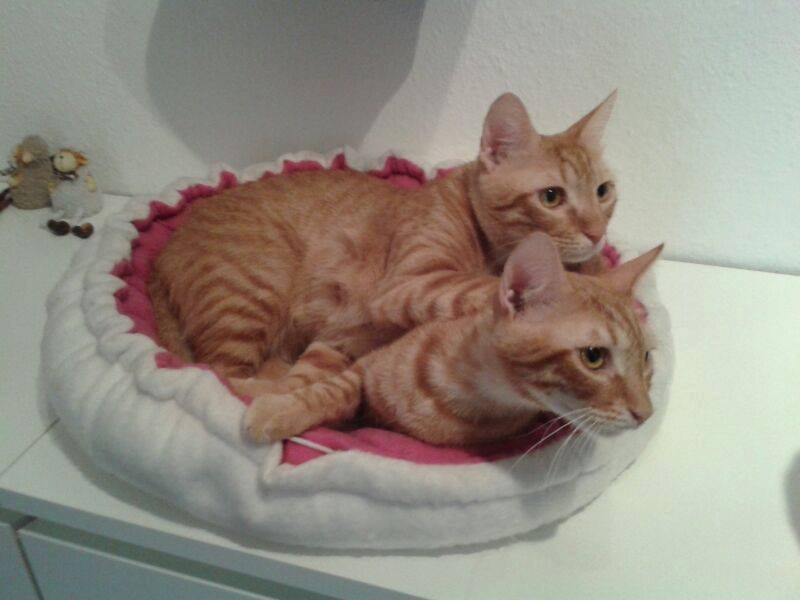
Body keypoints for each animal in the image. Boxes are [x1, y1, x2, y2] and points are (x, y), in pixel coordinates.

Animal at [149, 91, 620, 399]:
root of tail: (162, 253)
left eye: (603, 191)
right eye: (551, 197)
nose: (597, 233)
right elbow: (480, 288)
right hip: (250, 295)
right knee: (222, 376)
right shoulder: (410, 282)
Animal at [237, 233, 662, 445]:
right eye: (593, 356)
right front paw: (278, 411)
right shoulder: (366, 365)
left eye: (646, 358)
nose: (646, 414)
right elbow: (331, 390)